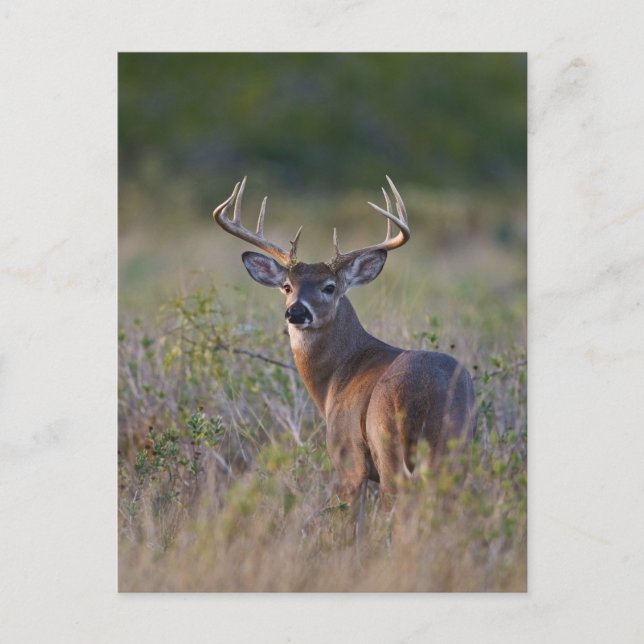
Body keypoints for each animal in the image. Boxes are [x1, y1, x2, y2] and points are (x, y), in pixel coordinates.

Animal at [212, 176, 476, 521]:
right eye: (287, 286)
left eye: (329, 287)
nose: (296, 312)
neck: (335, 378)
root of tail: (425, 393)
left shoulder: (346, 455)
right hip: (455, 448)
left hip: (388, 444)